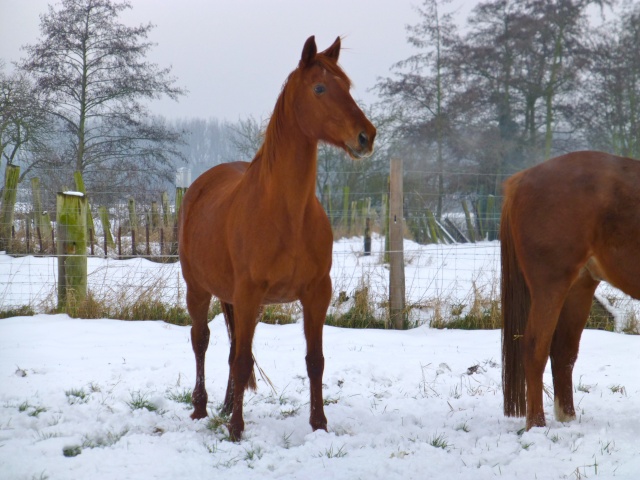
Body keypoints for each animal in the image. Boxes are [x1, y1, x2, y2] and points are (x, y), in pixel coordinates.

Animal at [500, 151, 640, 432]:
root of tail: (520, 179)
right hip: (550, 286)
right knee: (535, 348)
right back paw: (536, 425)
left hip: (579, 287)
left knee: (563, 351)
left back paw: (567, 419)